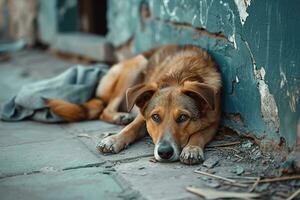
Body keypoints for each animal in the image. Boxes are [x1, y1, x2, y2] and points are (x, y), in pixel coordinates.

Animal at [47, 44, 220, 165]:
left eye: (183, 117)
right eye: (155, 117)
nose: (164, 153)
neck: (180, 76)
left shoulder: (214, 123)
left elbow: (199, 134)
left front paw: (192, 149)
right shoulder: (143, 116)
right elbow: (131, 128)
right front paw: (113, 139)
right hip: (135, 67)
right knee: (106, 109)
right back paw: (119, 117)